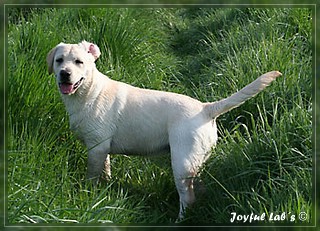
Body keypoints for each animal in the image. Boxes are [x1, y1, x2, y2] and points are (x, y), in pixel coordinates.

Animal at [46, 40, 282, 219]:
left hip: (181, 163)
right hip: (195, 161)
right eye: (59, 61)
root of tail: (206, 109)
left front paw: (90, 194)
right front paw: (105, 190)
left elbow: (92, 177)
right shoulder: (102, 149)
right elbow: (106, 171)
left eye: (79, 62)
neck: (88, 92)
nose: (65, 73)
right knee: (198, 188)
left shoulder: (96, 148)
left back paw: (181, 220)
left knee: (187, 197)